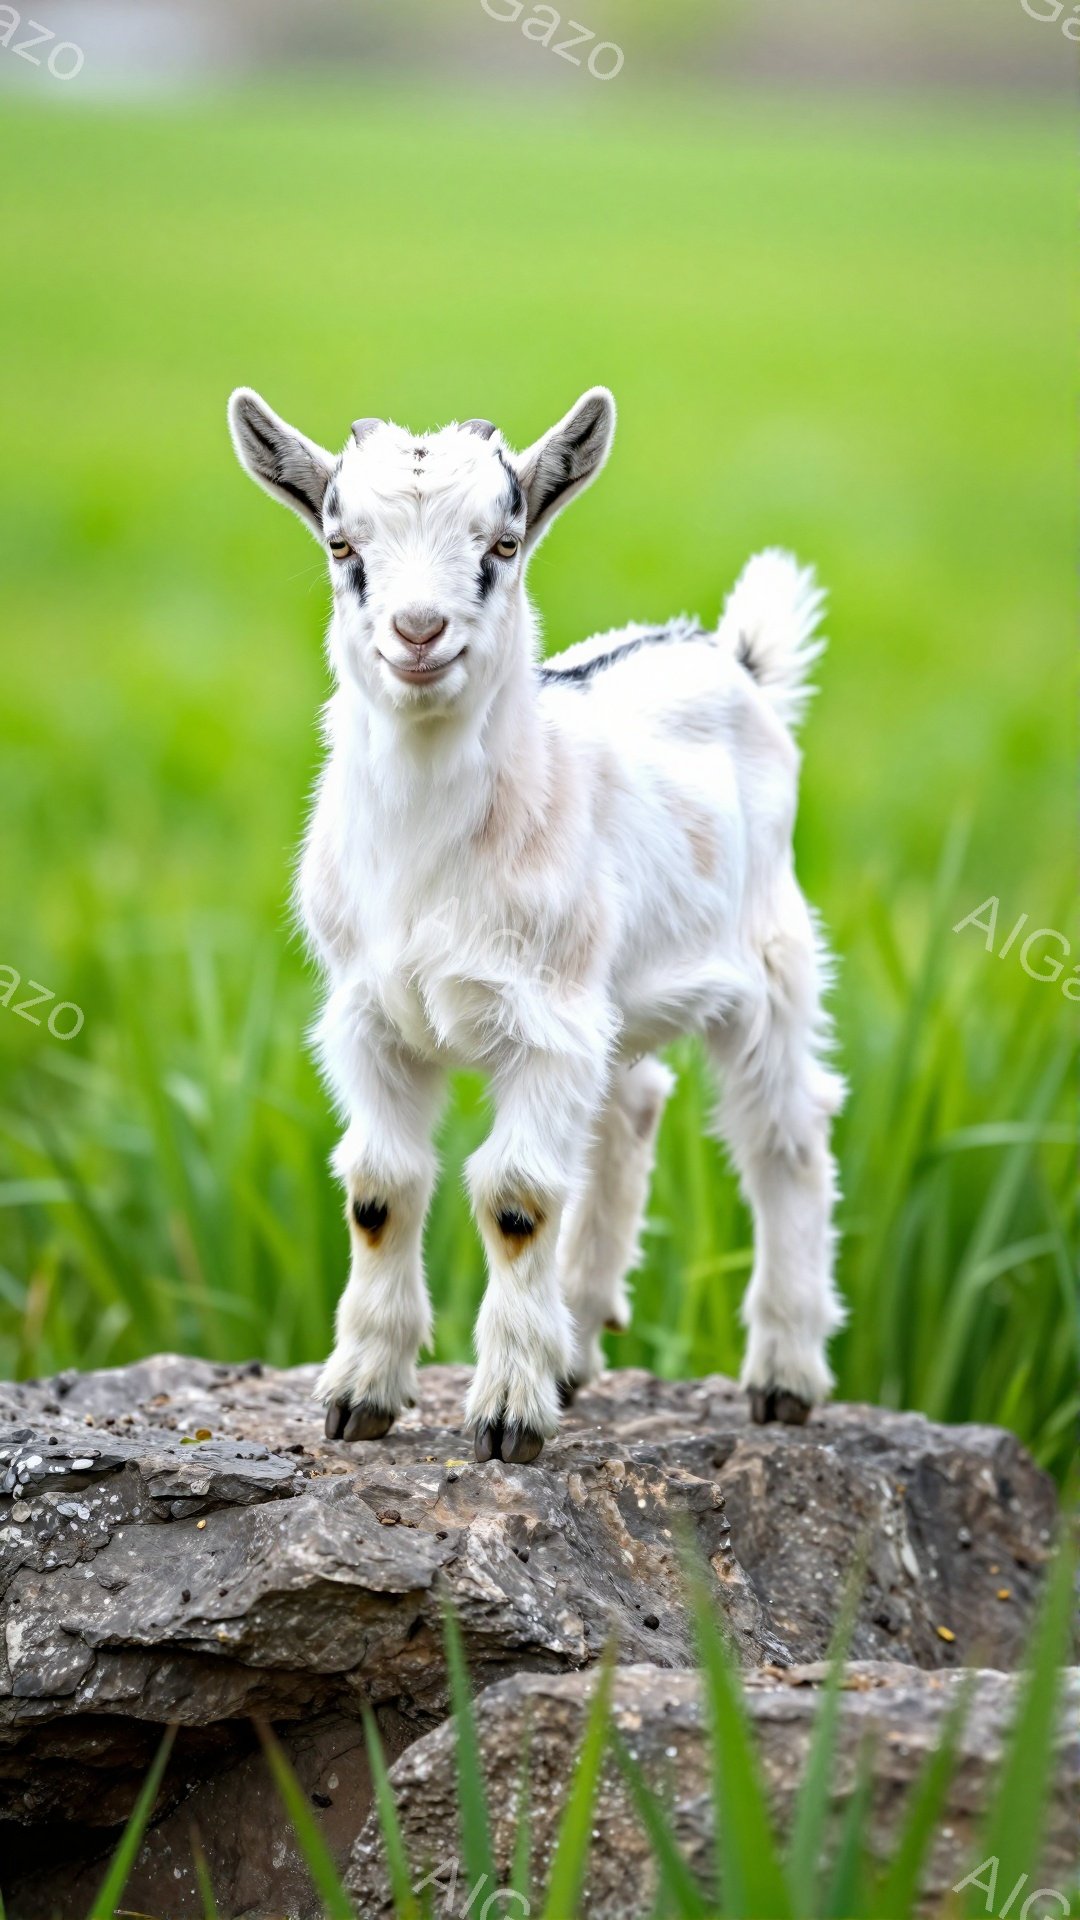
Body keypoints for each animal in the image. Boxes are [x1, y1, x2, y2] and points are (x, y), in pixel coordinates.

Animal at [228, 384, 845, 1464]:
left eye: (503, 542)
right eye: (344, 544)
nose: (418, 631)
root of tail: (733, 657)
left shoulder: (545, 1018)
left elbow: (515, 1197)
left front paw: (508, 1413)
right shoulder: (368, 1016)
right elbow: (381, 1186)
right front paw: (360, 1396)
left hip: (769, 958)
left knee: (786, 1134)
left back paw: (783, 1376)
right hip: (613, 993)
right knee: (628, 1110)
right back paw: (576, 1344)